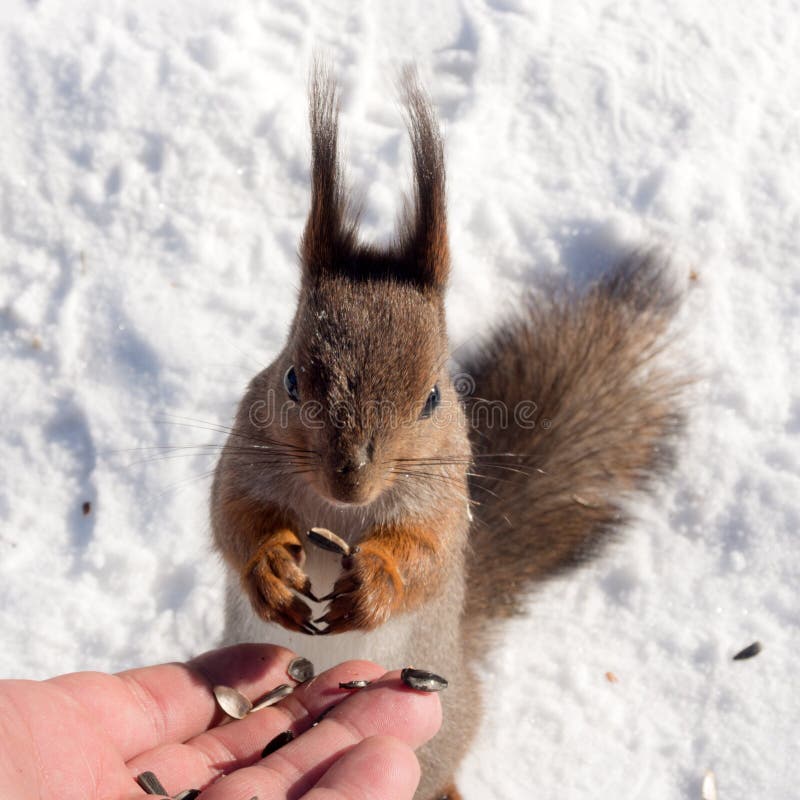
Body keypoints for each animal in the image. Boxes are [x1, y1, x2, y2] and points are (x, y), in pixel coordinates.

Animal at [210, 65, 686, 800]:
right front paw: (269, 565)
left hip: (443, 727)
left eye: (434, 397)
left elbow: (429, 556)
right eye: (290, 379)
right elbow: (230, 516)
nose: (350, 477)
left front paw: (376, 581)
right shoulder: (244, 456)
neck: (336, 514)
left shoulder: (442, 495)